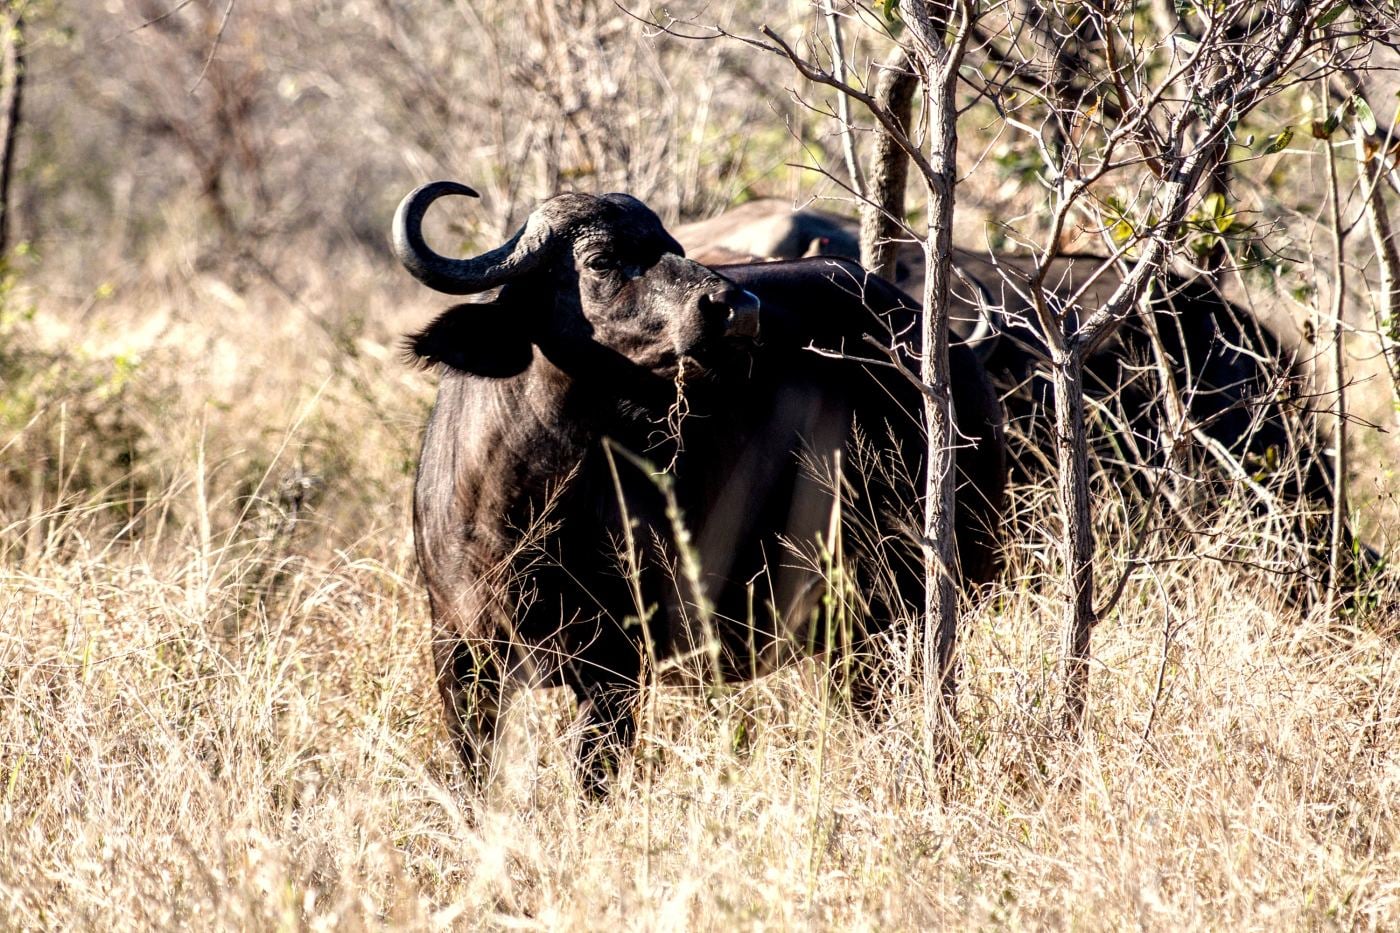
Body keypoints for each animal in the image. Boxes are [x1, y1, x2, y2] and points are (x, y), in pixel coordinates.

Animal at [393, 181, 1006, 793]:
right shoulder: (457, 655)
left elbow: (594, 775)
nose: (737, 308)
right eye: (601, 260)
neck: (526, 500)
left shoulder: (617, 663)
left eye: (675, 247)